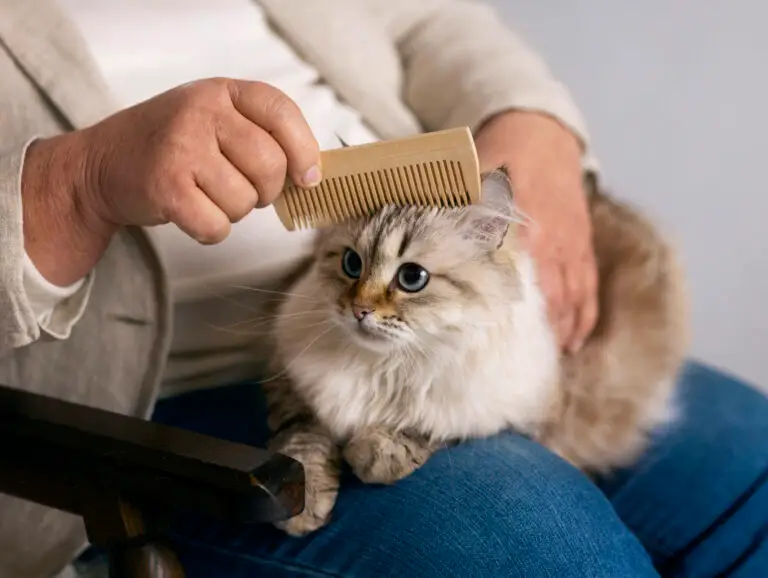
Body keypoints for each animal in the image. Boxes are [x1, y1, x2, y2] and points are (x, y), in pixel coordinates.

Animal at [264, 166, 688, 536]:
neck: (386, 365)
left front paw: (376, 455)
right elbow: (302, 445)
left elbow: (429, 428)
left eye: (411, 278)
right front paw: (302, 508)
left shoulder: (512, 409)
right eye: (352, 264)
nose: (359, 311)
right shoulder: (293, 386)